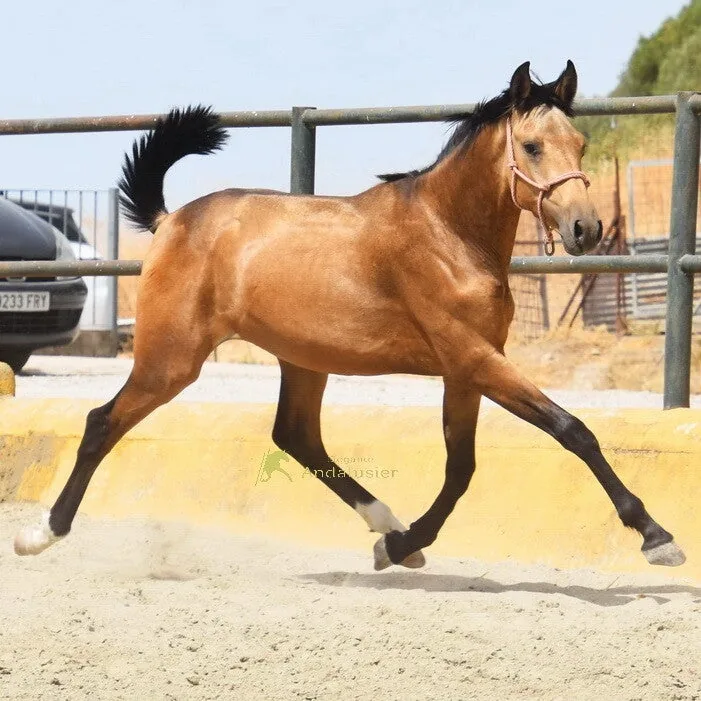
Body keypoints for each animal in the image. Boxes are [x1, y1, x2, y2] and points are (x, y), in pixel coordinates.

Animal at [15, 61, 685, 571]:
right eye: (531, 146)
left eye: (581, 145)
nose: (585, 229)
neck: (447, 234)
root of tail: (172, 219)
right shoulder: (473, 358)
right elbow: (573, 430)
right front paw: (657, 537)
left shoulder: (465, 370)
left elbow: (461, 467)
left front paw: (403, 545)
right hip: (171, 358)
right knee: (102, 422)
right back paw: (41, 534)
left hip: (302, 361)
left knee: (296, 437)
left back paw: (384, 523)